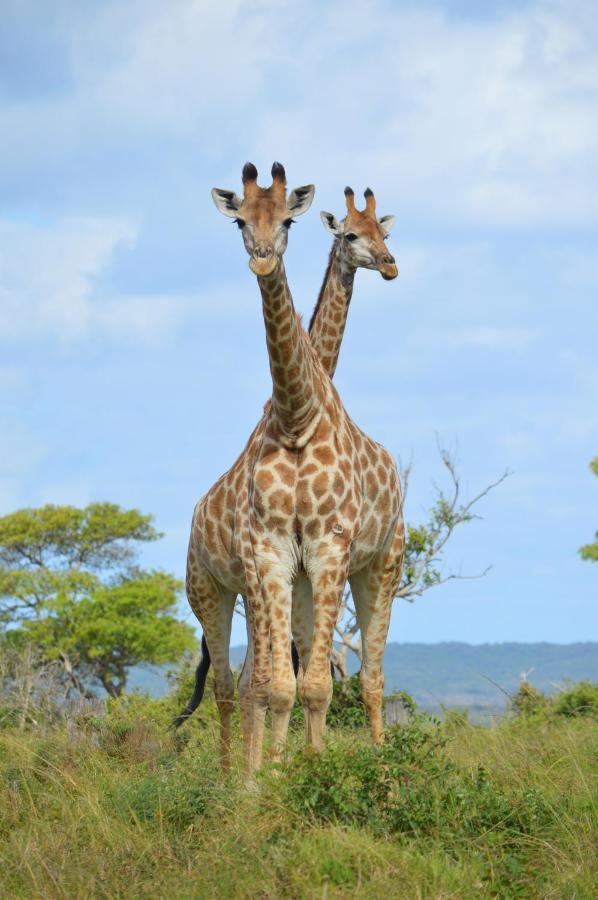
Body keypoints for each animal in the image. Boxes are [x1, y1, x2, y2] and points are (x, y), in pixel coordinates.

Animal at [185, 163, 406, 772]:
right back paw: (229, 772)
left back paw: (382, 768)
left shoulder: (327, 551)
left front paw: (310, 767)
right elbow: (275, 685)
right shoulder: (270, 555)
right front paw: (265, 780)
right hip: (209, 589)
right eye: (240, 220)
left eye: (288, 220)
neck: (295, 415)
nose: (390, 264)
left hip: (382, 565)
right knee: (231, 684)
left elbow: (314, 684)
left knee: (369, 677)